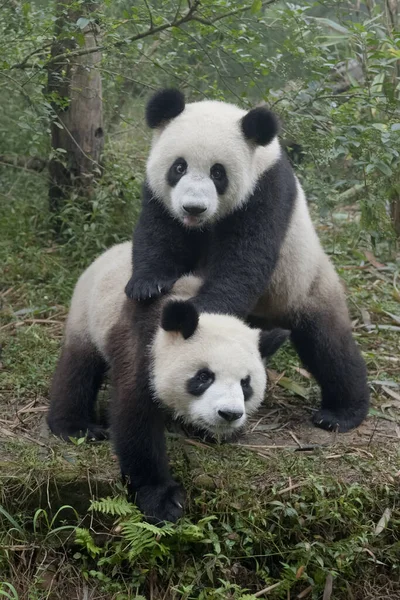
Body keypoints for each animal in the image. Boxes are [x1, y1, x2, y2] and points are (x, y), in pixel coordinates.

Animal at [48, 241, 290, 524]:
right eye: (204, 377)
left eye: (245, 384)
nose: (229, 414)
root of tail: (117, 247)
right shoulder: (143, 346)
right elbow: (136, 419)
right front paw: (162, 500)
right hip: (88, 314)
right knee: (78, 369)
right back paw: (76, 427)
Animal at [126, 90, 372, 436]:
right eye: (178, 167)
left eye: (218, 173)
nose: (193, 207)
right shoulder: (159, 195)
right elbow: (158, 233)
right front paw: (148, 286)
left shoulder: (266, 191)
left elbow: (244, 260)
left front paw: (202, 310)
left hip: (304, 283)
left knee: (329, 346)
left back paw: (342, 413)